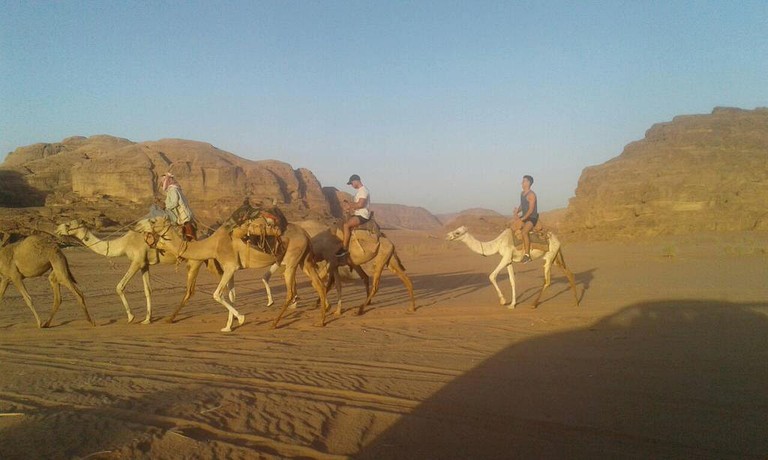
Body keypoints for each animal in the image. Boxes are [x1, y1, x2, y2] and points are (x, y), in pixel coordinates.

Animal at [56, 219, 228, 324]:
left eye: (68, 224)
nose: (56, 229)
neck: (125, 243)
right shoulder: (145, 264)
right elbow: (148, 290)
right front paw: (147, 319)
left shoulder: (137, 261)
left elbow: (119, 286)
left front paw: (131, 317)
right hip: (209, 261)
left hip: (194, 263)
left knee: (190, 291)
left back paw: (170, 318)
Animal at [140, 216, 328, 330]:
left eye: (153, 220)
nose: (137, 225)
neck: (213, 244)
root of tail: (306, 234)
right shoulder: (231, 268)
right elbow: (230, 295)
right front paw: (228, 326)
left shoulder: (230, 266)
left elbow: (217, 294)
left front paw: (241, 318)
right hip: (304, 261)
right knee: (319, 284)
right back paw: (321, 321)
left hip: (291, 261)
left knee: (291, 291)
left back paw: (274, 323)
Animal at [448, 219, 580, 310]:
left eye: (457, 232)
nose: (447, 236)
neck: (498, 243)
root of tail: (557, 240)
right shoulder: (509, 261)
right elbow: (512, 281)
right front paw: (512, 304)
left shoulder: (505, 257)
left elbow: (492, 276)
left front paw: (503, 301)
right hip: (556, 258)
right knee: (569, 273)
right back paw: (576, 303)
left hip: (549, 257)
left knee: (547, 281)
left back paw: (533, 304)